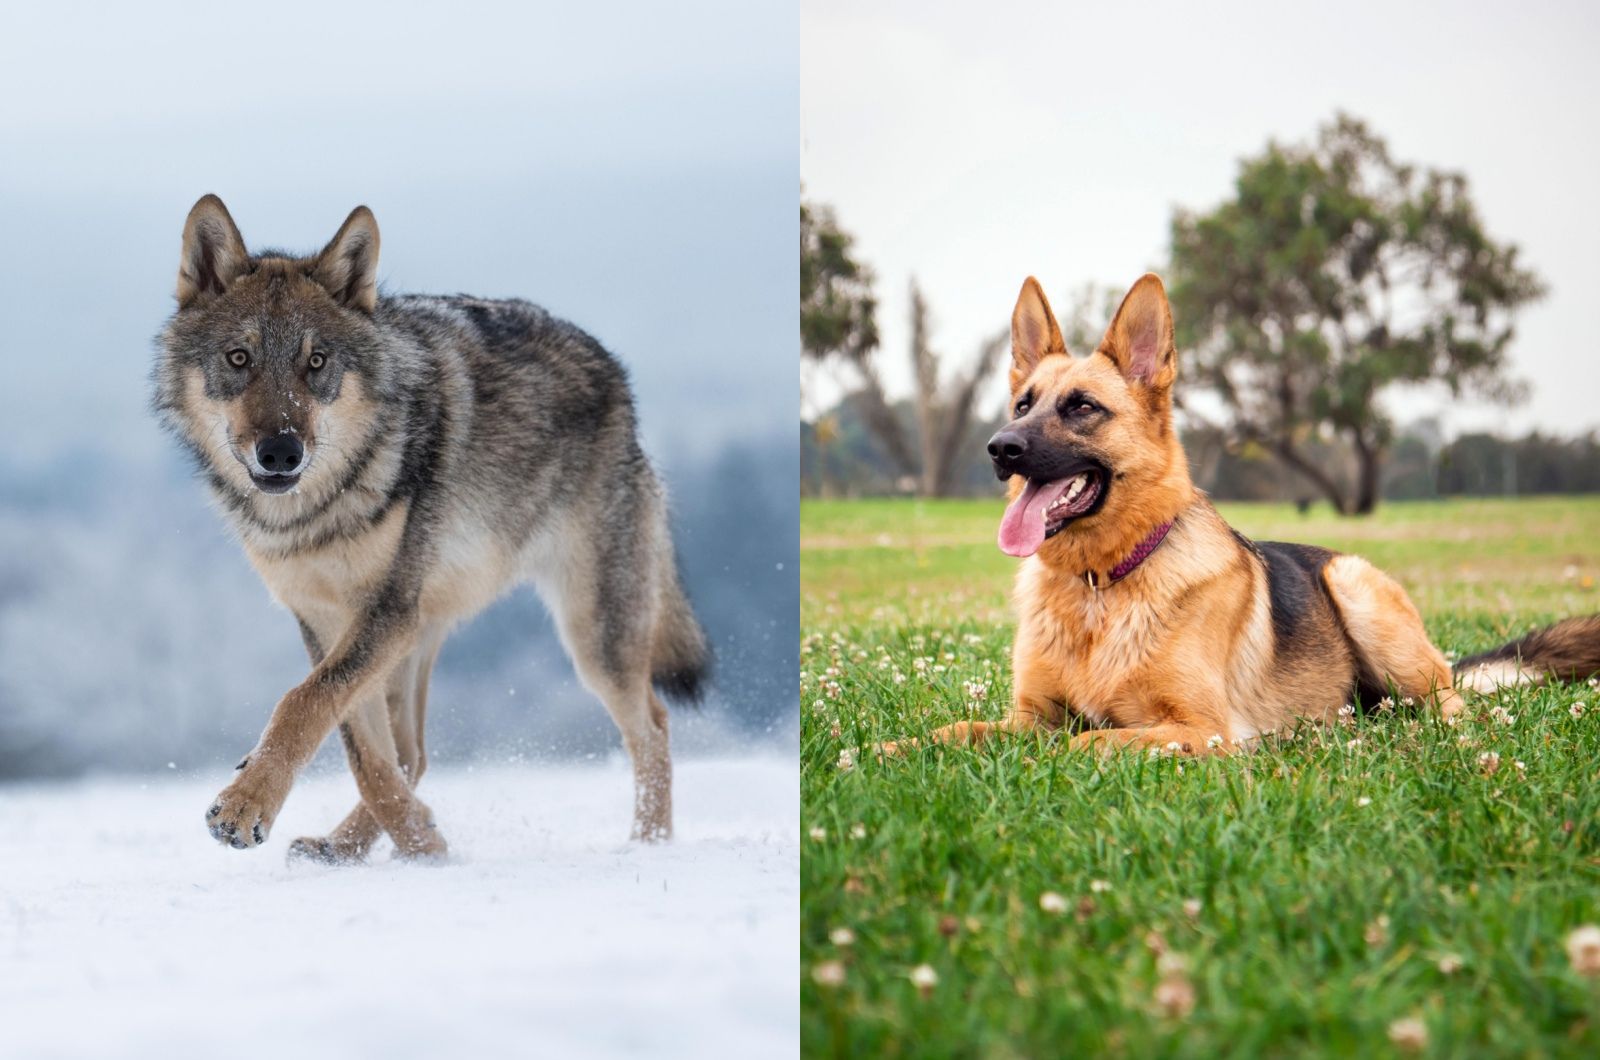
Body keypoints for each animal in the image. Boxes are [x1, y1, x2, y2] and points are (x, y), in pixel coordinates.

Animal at [156, 195, 707, 864]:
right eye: (240, 358)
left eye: (316, 363)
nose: (281, 453)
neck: (318, 513)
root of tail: (616, 375)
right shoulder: (326, 620)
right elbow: (361, 751)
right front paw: (421, 841)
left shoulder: (385, 612)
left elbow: (303, 703)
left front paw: (244, 807)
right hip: (425, 632)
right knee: (413, 755)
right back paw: (350, 845)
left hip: (590, 633)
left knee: (652, 725)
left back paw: (648, 846)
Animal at [896, 273, 1593, 755]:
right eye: (1023, 404)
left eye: (1082, 407)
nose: (999, 448)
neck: (1102, 587)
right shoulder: (1028, 716)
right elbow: (957, 728)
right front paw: (893, 749)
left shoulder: (1199, 727)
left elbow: (1084, 741)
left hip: (1358, 592)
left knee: (1449, 708)